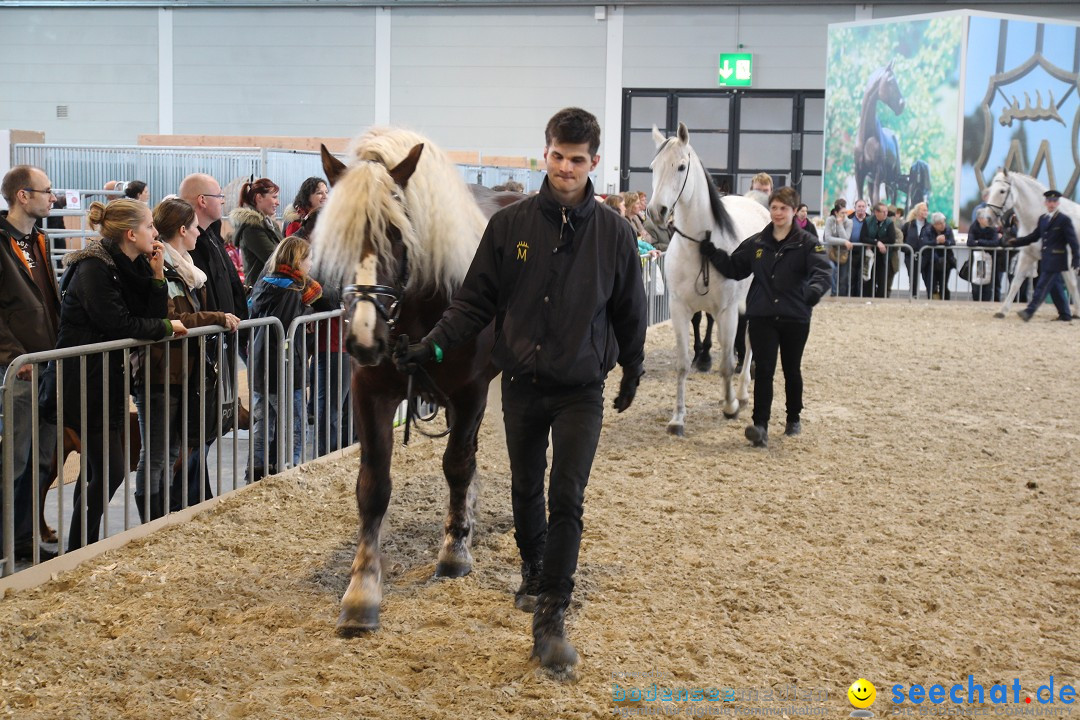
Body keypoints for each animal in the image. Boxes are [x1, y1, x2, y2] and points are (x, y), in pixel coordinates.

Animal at [313, 129, 518, 634]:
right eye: (341, 237)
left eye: (397, 234)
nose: (364, 338)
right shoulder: (369, 393)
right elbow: (373, 486)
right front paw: (363, 589)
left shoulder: (471, 392)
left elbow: (457, 466)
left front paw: (455, 551)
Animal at [643, 124, 773, 436]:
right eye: (653, 167)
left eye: (681, 166)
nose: (656, 212)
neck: (702, 245)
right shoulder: (679, 309)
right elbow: (682, 363)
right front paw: (677, 418)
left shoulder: (727, 311)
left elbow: (727, 363)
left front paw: (730, 406)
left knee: (748, 344)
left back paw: (742, 393)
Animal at [989, 170, 1080, 319]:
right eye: (990, 190)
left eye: (1002, 191)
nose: (988, 217)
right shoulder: (1027, 255)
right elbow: (1016, 282)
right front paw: (1002, 311)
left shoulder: (1067, 259)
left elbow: (1071, 284)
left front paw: (1077, 312)